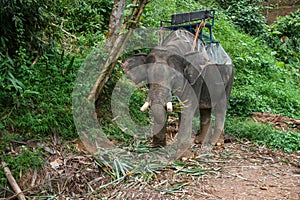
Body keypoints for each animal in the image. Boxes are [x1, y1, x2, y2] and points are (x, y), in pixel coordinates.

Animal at [122, 29, 234, 157]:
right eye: (148, 79)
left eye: (174, 78)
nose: (157, 145)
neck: (173, 47)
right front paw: (158, 147)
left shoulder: (195, 78)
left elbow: (187, 108)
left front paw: (184, 157)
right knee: (205, 109)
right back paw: (199, 141)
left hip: (229, 78)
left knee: (221, 108)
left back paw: (216, 143)